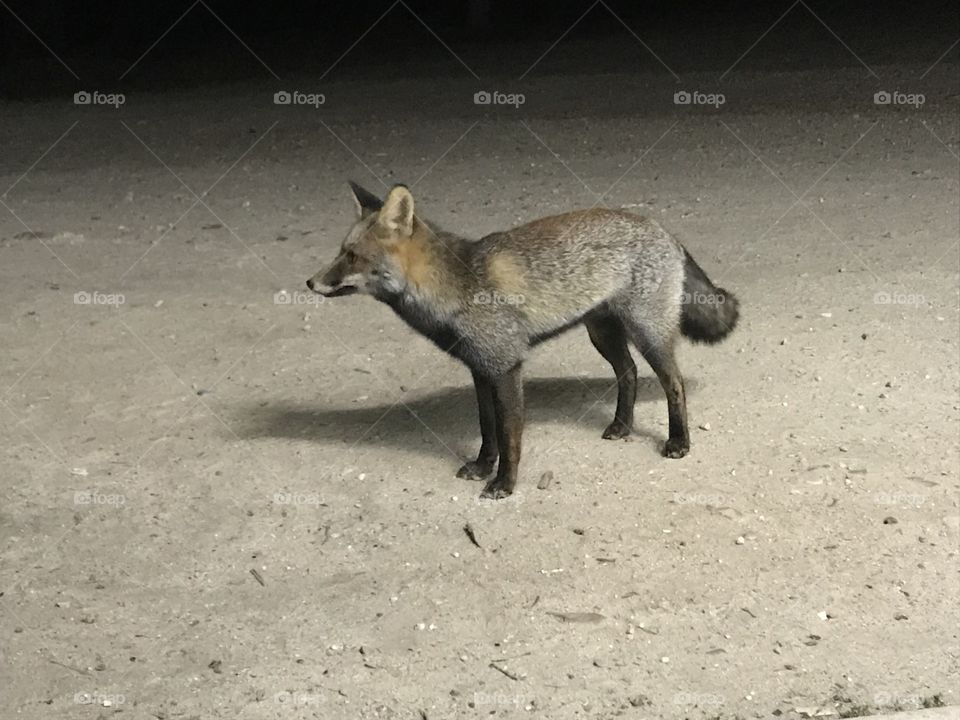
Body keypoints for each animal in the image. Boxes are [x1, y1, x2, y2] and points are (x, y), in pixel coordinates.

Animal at [307, 182, 739, 499]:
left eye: (352, 256)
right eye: (341, 252)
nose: (310, 283)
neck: (454, 288)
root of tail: (660, 227)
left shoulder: (506, 366)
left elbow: (509, 435)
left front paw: (504, 484)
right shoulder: (480, 369)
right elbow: (487, 430)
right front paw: (483, 467)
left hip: (647, 333)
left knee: (674, 383)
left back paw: (678, 440)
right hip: (602, 334)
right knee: (628, 372)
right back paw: (621, 426)